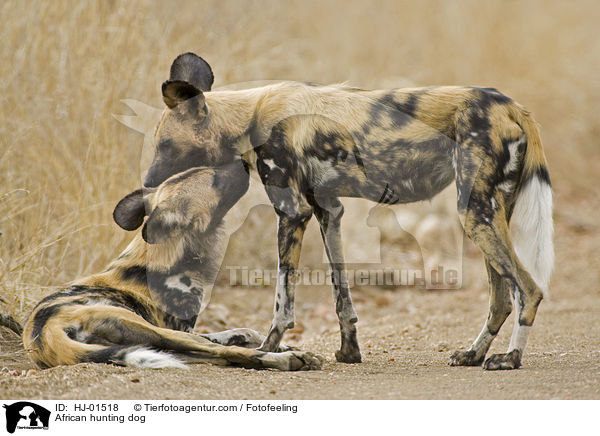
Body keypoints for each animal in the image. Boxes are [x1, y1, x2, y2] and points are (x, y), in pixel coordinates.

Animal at [22, 161, 324, 372]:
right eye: (215, 180)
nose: (244, 161)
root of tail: (43, 333)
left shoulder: (185, 331)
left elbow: (244, 333)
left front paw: (275, 342)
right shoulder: (181, 329)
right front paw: (281, 348)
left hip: (158, 343)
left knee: (219, 353)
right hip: (149, 329)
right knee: (224, 353)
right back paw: (292, 359)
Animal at [141, 52, 552, 370]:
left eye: (166, 145)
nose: (147, 181)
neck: (250, 116)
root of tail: (510, 104)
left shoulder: (292, 212)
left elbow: (282, 302)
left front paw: (267, 351)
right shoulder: (328, 211)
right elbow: (342, 296)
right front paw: (349, 351)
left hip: (475, 216)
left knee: (528, 290)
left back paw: (510, 358)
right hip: (486, 213)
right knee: (501, 299)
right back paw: (473, 354)